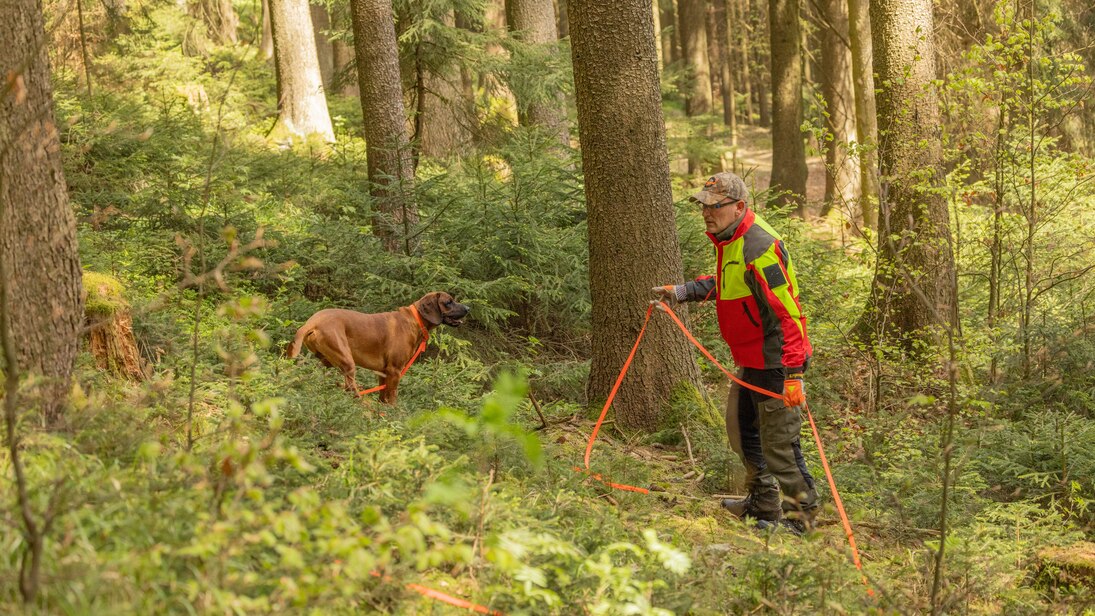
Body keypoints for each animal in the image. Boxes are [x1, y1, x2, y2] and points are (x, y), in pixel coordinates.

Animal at [284, 293, 468, 404]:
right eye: (448, 302)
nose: (468, 308)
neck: (415, 321)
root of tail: (312, 322)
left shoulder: (383, 373)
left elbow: (383, 397)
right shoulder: (394, 371)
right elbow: (392, 398)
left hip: (325, 361)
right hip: (347, 362)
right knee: (351, 388)